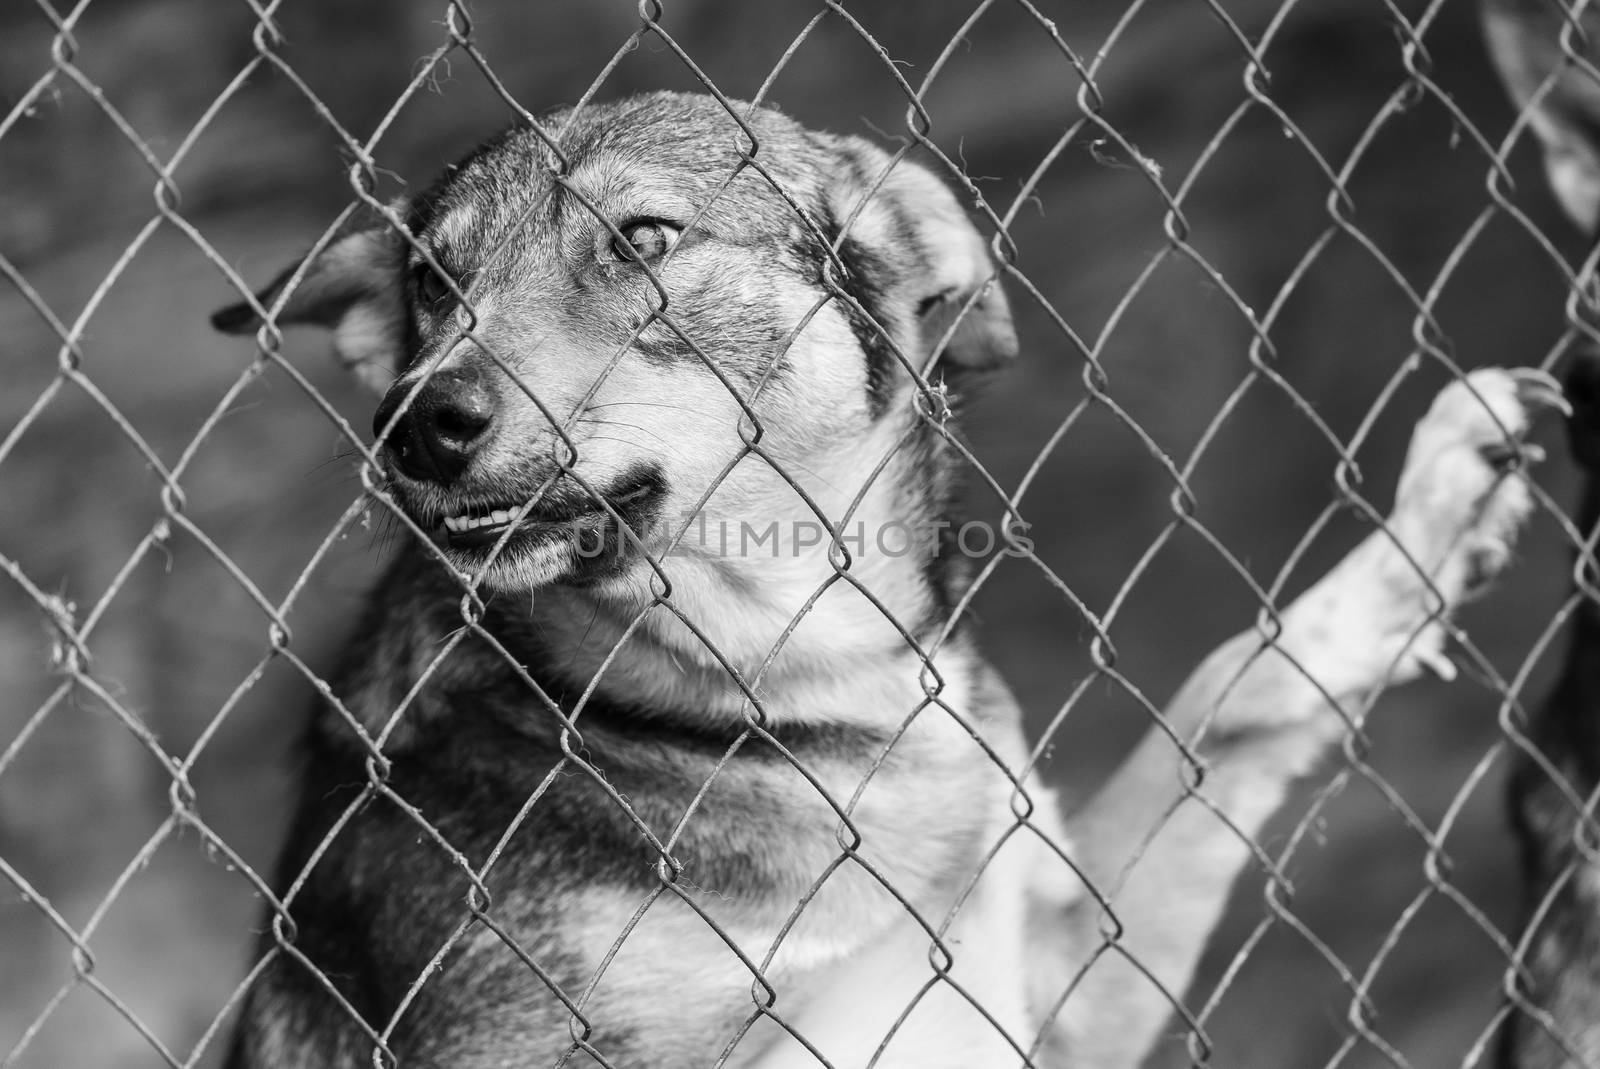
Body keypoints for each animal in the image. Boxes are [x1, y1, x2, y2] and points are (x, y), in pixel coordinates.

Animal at [209, 92, 1561, 1069]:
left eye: (645, 238)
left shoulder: (1058, 978)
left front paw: (1426, 527)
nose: (413, 425)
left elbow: (1230, 696)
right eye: (431, 285)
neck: (797, 697)